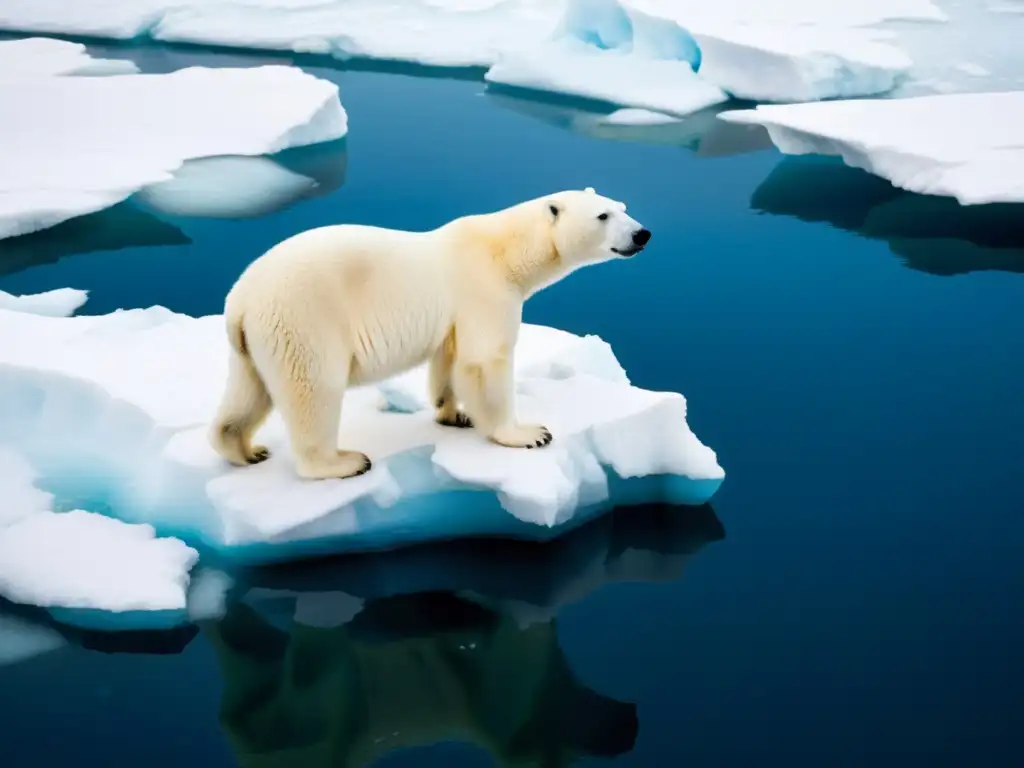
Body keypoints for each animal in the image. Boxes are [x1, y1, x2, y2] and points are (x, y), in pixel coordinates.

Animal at [209, 188, 647, 481]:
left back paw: (245, 449)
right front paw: (528, 434)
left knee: (248, 392)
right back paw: (343, 462)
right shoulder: (484, 289)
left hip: (257, 338)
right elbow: (485, 360)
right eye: (603, 216)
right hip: (304, 318)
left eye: (623, 208)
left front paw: (454, 413)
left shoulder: (456, 313)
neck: (505, 251)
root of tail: (240, 299)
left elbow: (449, 359)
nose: (642, 234)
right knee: (313, 390)